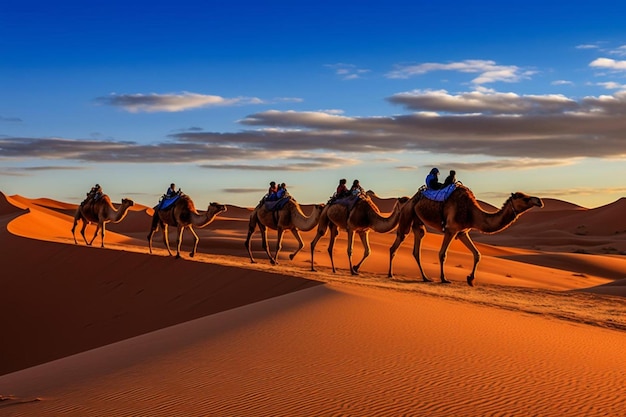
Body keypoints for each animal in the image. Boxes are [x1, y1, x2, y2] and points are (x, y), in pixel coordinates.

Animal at [388, 185, 540, 286]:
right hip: (407, 213)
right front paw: (444, 279)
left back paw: (425, 277)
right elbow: (442, 254)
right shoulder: (451, 229)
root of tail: (410, 199)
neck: (471, 212)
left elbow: (477, 254)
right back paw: (391, 274)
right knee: (398, 240)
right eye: (524, 198)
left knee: (417, 245)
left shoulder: (462, 232)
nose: (539, 201)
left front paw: (470, 279)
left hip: (418, 220)